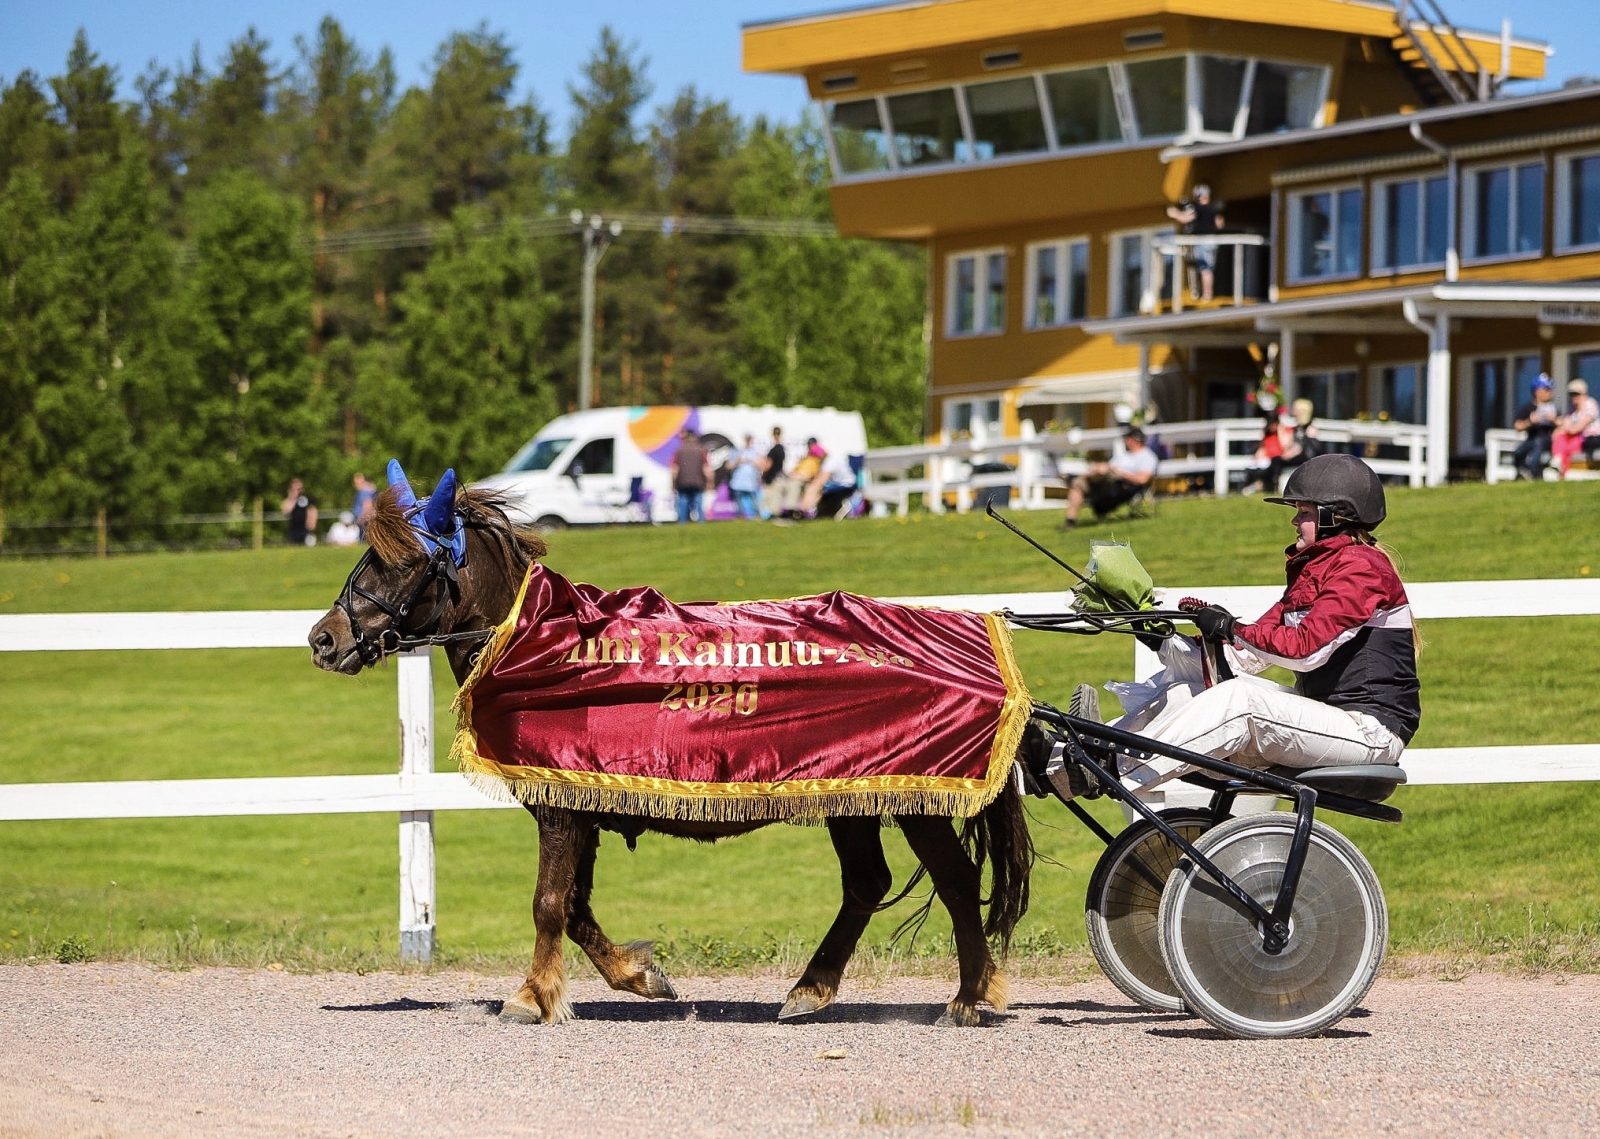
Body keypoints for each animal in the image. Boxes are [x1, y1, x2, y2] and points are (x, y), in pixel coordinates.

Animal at [308, 463, 1036, 1030]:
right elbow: (575, 908)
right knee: (867, 883)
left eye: (402, 562)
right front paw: (637, 974)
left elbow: (548, 903)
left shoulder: (560, 807)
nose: (323, 638)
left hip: (914, 798)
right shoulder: (580, 802)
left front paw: (531, 995)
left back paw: (968, 995)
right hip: (849, 794)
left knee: (954, 878)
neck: (543, 641)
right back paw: (812, 988)